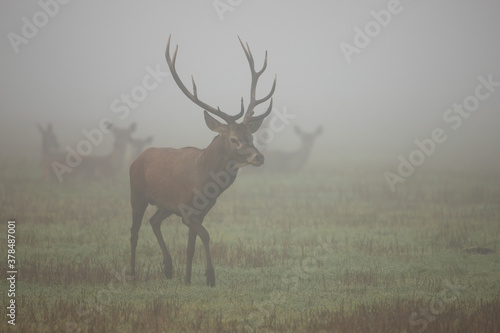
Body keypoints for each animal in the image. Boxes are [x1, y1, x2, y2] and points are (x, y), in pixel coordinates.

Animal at [129, 35, 276, 286]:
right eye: (234, 139)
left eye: (251, 137)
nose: (259, 156)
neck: (204, 181)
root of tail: (136, 159)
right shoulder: (187, 209)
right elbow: (206, 235)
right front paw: (210, 277)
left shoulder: (200, 210)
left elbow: (191, 246)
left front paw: (188, 280)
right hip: (137, 194)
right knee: (134, 231)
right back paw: (131, 274)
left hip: (164, 204)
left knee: (154, 221)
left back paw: (168, 268)